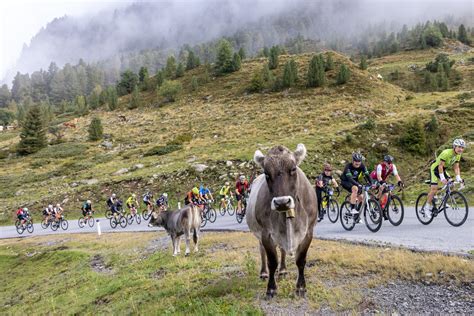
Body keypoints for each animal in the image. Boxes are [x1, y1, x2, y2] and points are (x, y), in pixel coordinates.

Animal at [246, 144, 316, 298]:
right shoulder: (266, 233)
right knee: (262, 251)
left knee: (283, 250)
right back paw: (264, 273)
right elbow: (272, 261)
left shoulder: (308, 232)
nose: (282, 202)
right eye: (266, 174)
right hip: (259, 233)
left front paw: (301, 287)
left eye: (293, 169)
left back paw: (283, 270)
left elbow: (301, 260)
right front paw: (271, 288)